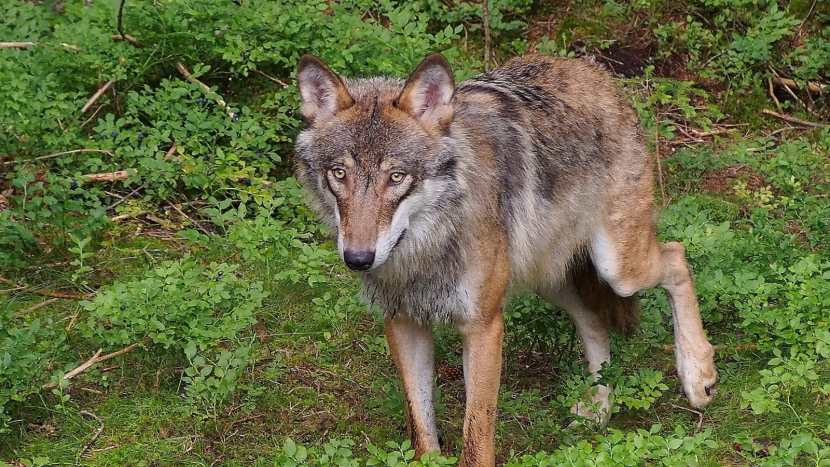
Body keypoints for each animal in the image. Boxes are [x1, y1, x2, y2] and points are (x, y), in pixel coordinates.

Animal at [296, 53, 720, 467]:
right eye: (339, 174)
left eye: (397, 177)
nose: (358, 258)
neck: (427, 247)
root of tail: (593, 71)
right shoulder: (403, 322)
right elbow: (421, 429)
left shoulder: (483, 327)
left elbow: (476, 440)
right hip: (551, 278)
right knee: (594, 319)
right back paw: (599, 408)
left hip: (618, 268)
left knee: (677, 256)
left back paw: (697, 375)